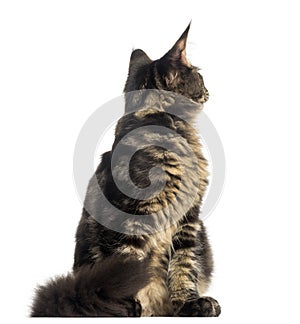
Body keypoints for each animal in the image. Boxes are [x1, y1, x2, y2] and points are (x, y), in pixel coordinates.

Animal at [73, 23, 220, 316]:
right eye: (199, 75)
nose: (210, 89)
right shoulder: (129, 216)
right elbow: (129, 266)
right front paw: (128, 307)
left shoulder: (189, 219)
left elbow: (184, 265)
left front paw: (188, 303)